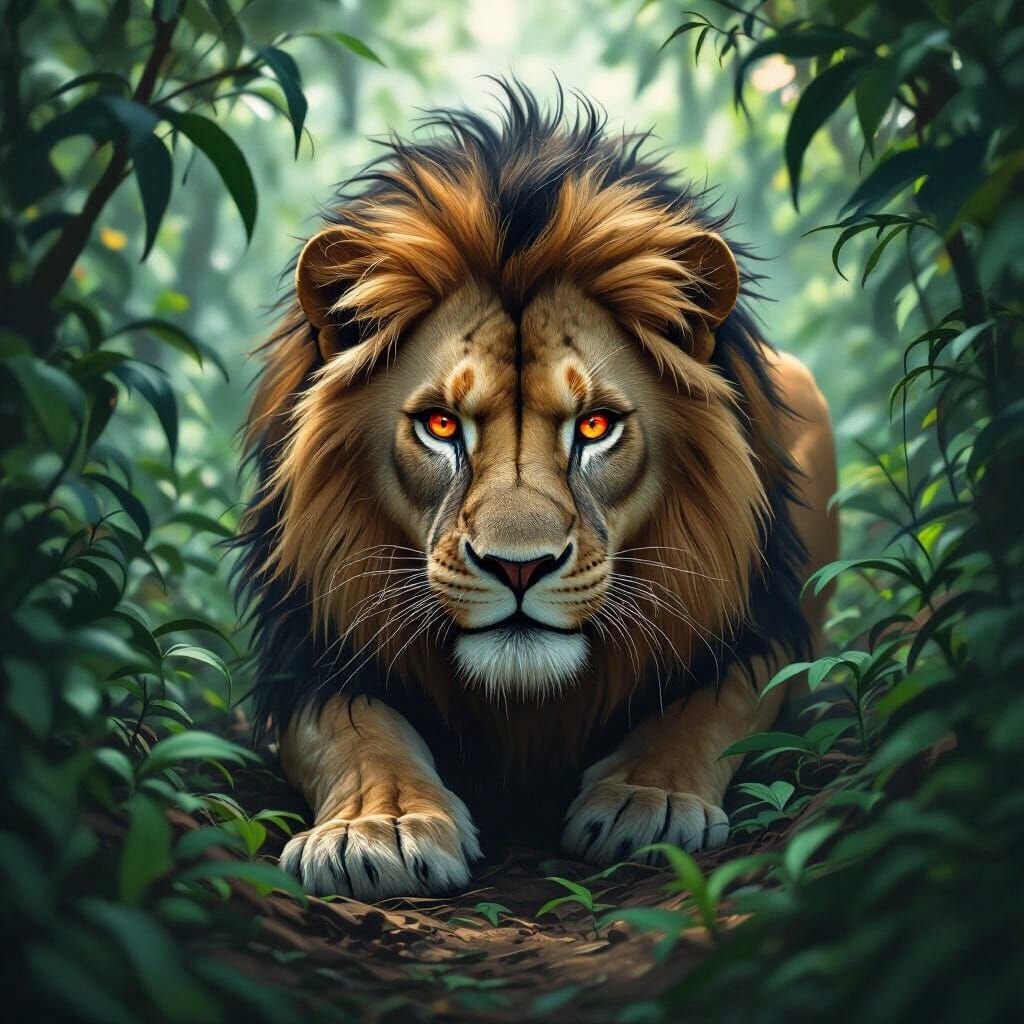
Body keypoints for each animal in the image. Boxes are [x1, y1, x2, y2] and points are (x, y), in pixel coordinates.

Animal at [238, 85, 838, 900]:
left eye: (594, 426)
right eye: (440, 424)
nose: (518, 568)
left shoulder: (762, 627)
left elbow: (712, 706)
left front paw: (646, 799)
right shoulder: (304, 652)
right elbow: (353, 730)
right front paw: (378, 828)